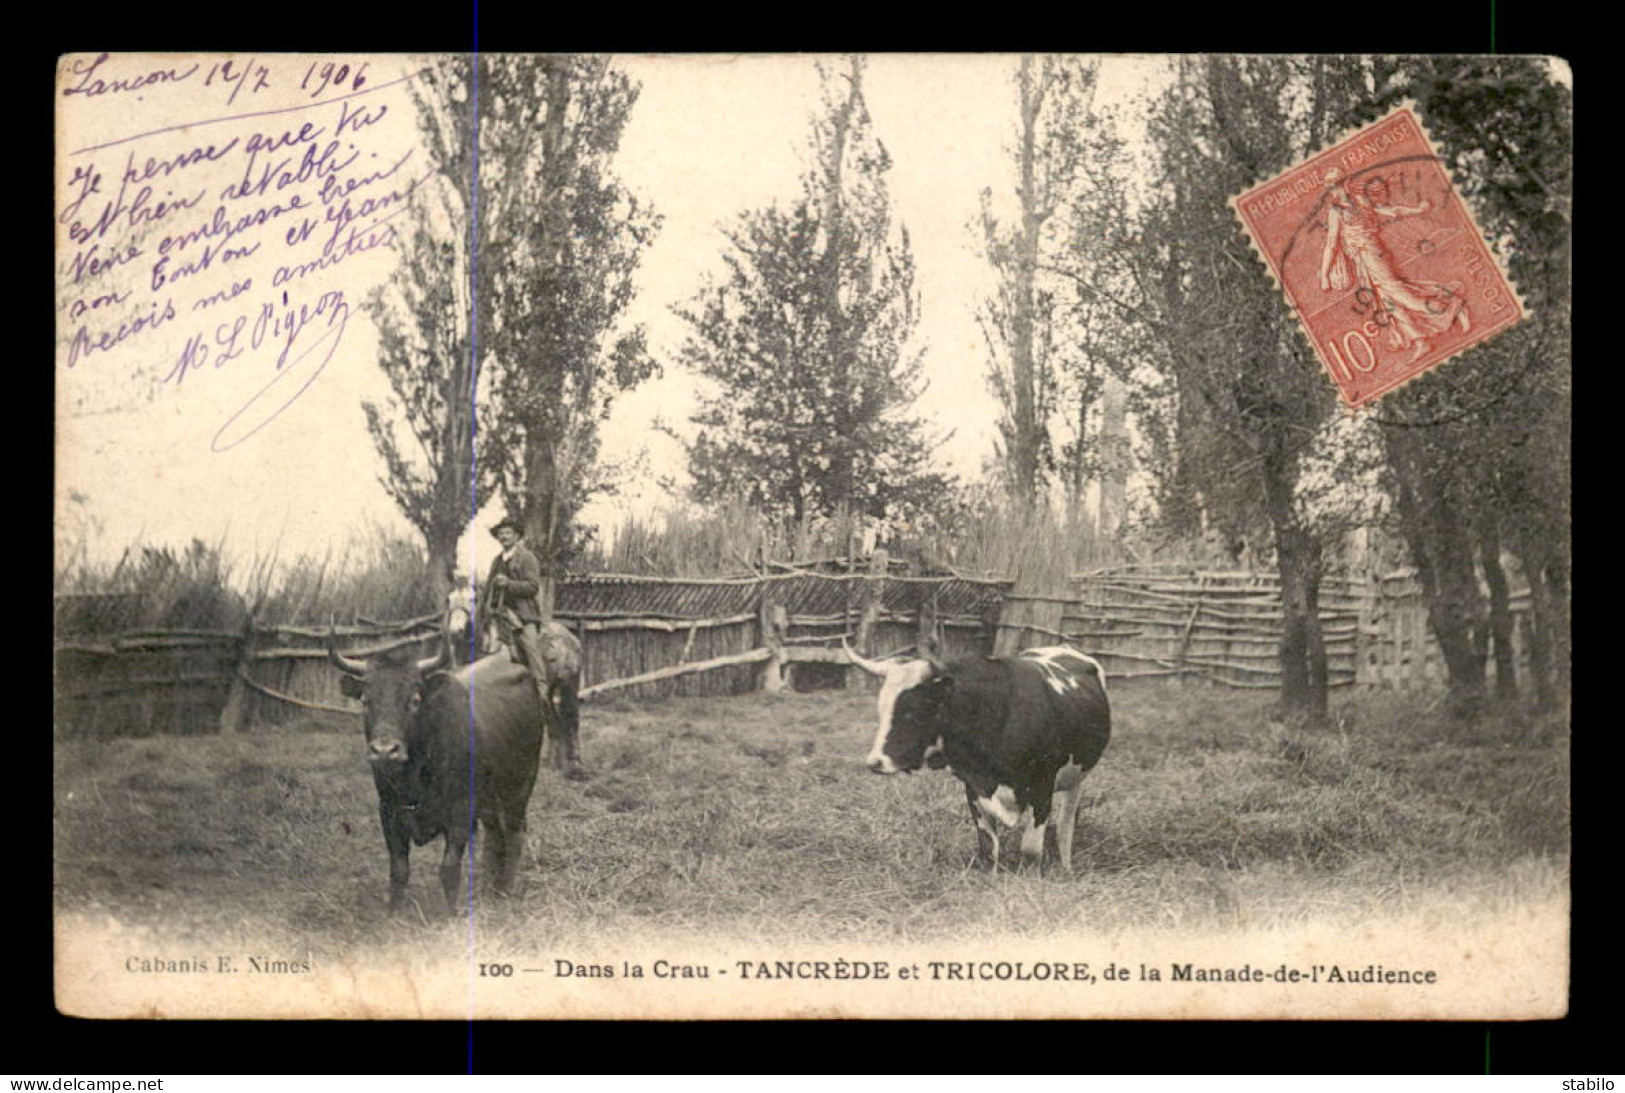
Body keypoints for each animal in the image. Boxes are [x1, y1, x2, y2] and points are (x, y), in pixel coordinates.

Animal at [326, 636, 555, 909]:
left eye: (414, 699)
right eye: (365, 701)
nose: (384, 751)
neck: (415, 775)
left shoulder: (460, 813)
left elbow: (448, 870)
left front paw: (450, 914)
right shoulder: (389, 812)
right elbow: (399, 870)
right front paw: (394, 912)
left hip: (520, 787)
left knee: (513, 833)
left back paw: (505, 889)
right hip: (490, 799)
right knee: (494, 836)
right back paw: (488, 889)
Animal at [845, 639, 1111, 870]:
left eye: (914, 710)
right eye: (881, 708)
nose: (875, 762)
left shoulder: (1042, 786)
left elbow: (1031, 849)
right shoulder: (974, 785)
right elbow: (988, 845)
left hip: (1078, 776)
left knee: (1067, 822)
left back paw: (1066, 866)